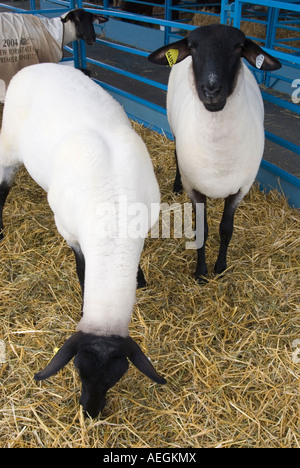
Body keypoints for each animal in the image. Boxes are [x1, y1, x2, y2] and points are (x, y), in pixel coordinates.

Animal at [0, 62, 166, 416]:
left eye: (118, 375)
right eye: (78, 369)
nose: (90, 412)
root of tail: (35, 65)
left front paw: (140, 277)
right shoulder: (70, 232)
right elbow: (81, 269)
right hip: (8, 148)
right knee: (3, 186)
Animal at [148, 23, 282, 282]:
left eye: (239, 48)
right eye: (192, 47)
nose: (211, 89)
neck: (218, 156)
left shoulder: (240, 189)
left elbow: (226, 230)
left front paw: (220, 268)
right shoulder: (194, 189)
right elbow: (202, 230)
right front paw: (201, 273)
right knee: (176, 154)